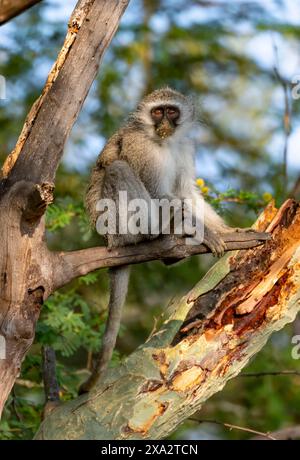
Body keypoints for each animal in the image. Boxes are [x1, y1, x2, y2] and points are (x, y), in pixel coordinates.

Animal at [81, 87, 253, 392]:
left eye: (171, 111)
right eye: (157, 112)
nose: (163, 124)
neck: (164, 143)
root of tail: (109, 241)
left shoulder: (184, 147)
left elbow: (186, 192)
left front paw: (227, 230)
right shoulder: (141, 149)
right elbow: (161, 194)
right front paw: (203, 230)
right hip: (118, 224)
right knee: (119, 170)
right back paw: (166, 230)